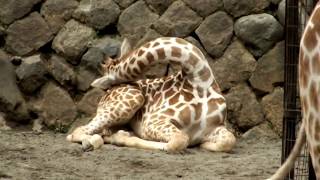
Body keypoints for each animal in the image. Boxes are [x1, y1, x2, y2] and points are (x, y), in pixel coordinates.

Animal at [66, 37, 236, 153]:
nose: (109, 89)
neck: (200, 80)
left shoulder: (214, 127)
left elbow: (229, 140)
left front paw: (205, 144)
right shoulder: (153, 122)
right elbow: (178, 142)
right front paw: (122, 138)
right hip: (132, 99)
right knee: (77, 132)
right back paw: (92, 142)